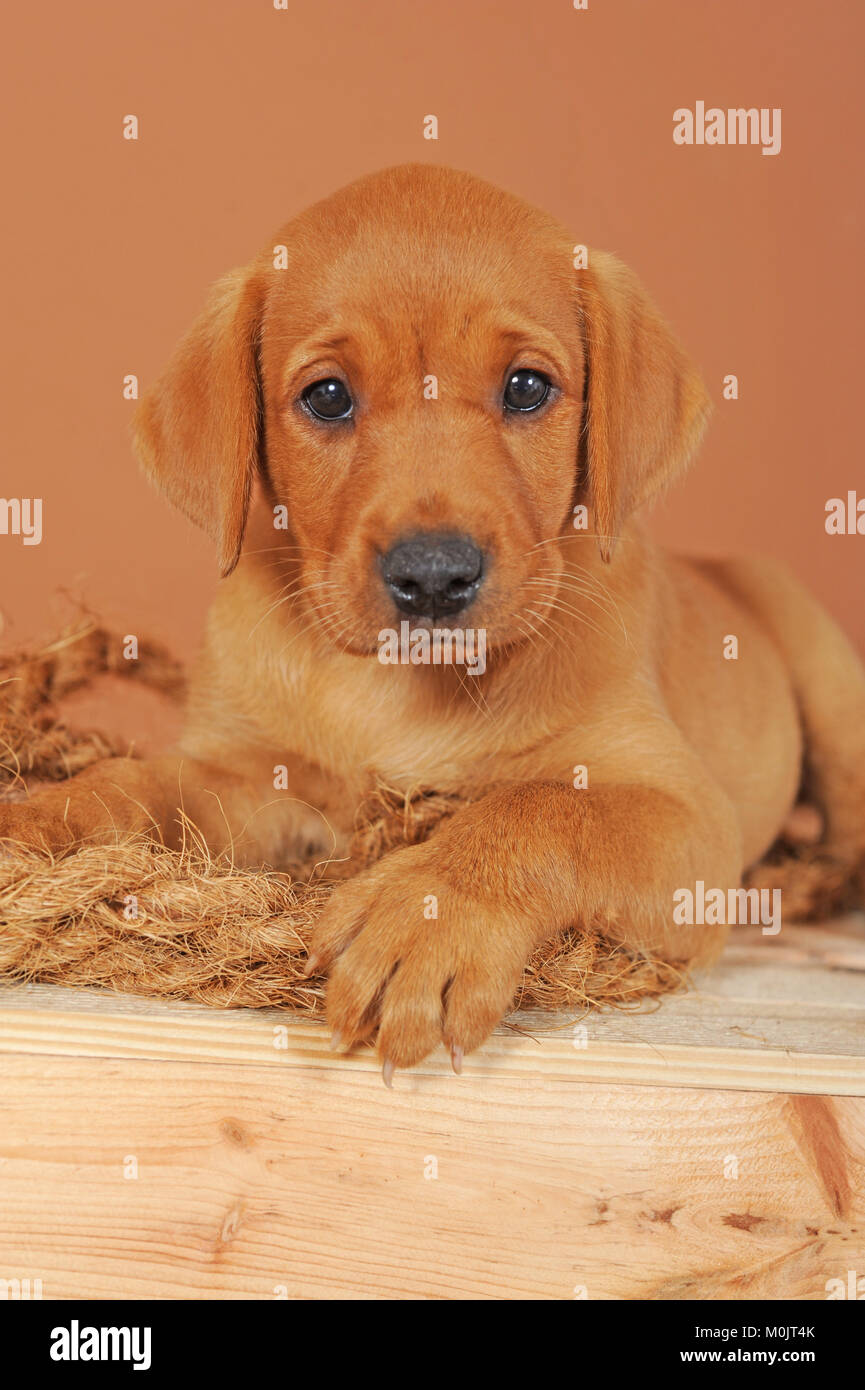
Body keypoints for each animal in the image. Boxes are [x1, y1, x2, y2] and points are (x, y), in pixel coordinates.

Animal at [3, 165, 862, 1073]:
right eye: (327, 397)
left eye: (526, 388)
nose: (433, 576)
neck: (398, 687)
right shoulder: (261, 782)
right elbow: (141, 785)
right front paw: (43, 820)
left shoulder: (683, 814)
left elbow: (539, 810)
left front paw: (426, 915)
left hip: (828, 687)